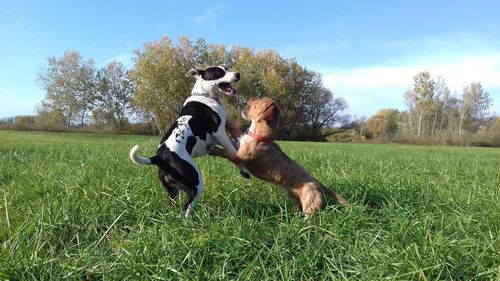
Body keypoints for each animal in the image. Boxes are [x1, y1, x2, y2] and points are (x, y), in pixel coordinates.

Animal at [129, 65, 246, 217]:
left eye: (226, 68)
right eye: (219, 73)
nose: (237, 74)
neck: (204, 95)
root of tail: (160, 158)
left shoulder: (217, 138)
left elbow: (234, 143)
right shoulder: (219, 132)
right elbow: (232, 151)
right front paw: (242, 167)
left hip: (172, 191)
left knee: (172, 205)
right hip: (195, 183)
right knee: (186, 209)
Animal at [212, 96, 348, 212]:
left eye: (258, 101)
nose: (247, 99)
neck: (260, 137)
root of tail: (319, 184)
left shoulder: (239, 157)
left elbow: (226, 153)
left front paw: (214, 149)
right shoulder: (239, 142)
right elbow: (233, 128)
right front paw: (226, 120)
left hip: (310, 205)